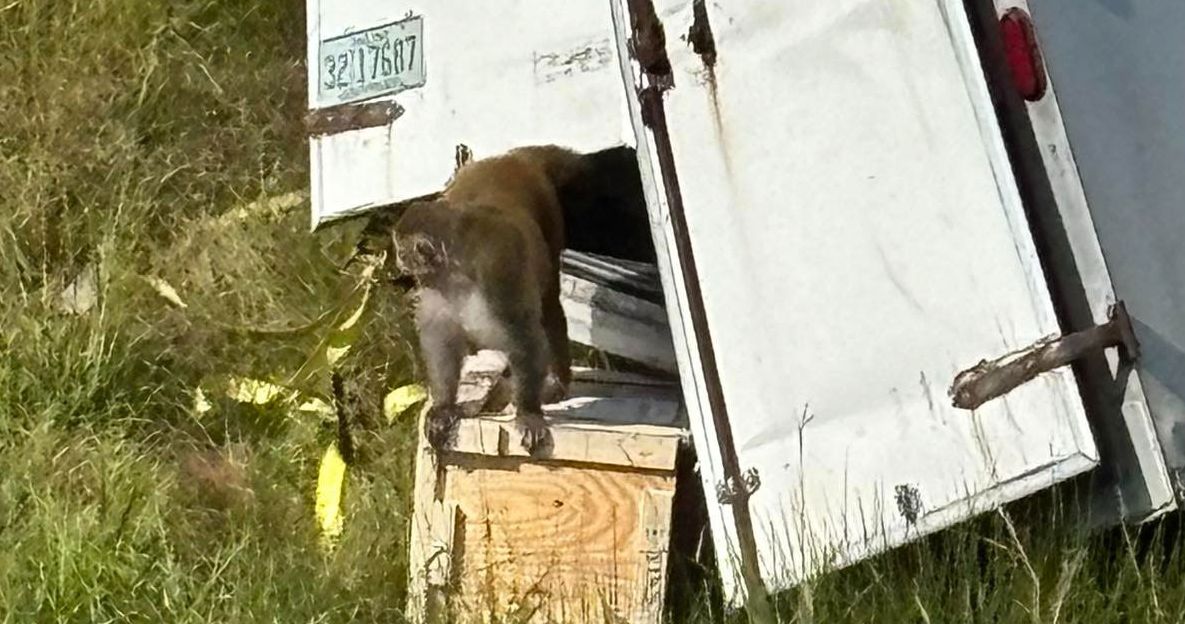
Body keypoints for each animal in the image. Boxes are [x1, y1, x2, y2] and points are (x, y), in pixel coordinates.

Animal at [392, 145, 590, 456]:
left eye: (402, 251)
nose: (398, 261)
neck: (457, 270)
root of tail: (511, 158)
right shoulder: (436, 288)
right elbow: (442, 340)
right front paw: (444, 406)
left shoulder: (498, 272)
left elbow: (524, 335)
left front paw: (528, 413)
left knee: (548, 305)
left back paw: (557, 382)